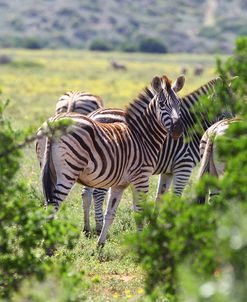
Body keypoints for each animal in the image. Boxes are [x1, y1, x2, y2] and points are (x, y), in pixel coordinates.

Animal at [39, 73, 185, 245]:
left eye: (179, 103)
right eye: (162, 104)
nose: (177, 130)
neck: (142, 136)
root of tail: (55, 122)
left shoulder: (119, 184)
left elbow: (111, 212)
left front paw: (100, 244)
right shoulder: (141, 178)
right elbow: (139, 211)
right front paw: (141, 242)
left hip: (50, 170)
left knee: (48, 202)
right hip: (69, 171)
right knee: (54, 205)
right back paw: (48, 244)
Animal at [81, 77, 233, 234]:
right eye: (222, 105)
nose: (231, 125)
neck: (190, 126)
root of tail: (93, 115)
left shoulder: (167, 171)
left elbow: (160, 198)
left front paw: (153, 226)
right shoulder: (183, 166)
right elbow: (175, 197)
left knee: (86, 193)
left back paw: (87, 229)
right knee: (97, 194)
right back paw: (99, 227)